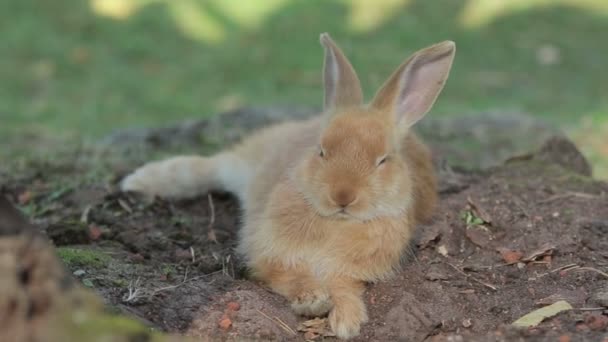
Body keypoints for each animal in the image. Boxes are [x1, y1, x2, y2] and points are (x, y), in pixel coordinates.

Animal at [122, 33, 456, 338]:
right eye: (321, 150)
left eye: (383, 159)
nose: (343, 196)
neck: (338, 223)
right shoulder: (270, 253)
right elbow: (291, 275)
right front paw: (312, 300)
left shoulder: (350, 272)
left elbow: (344, 287)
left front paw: (347, 322)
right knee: (207, 167)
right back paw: (138, 182)